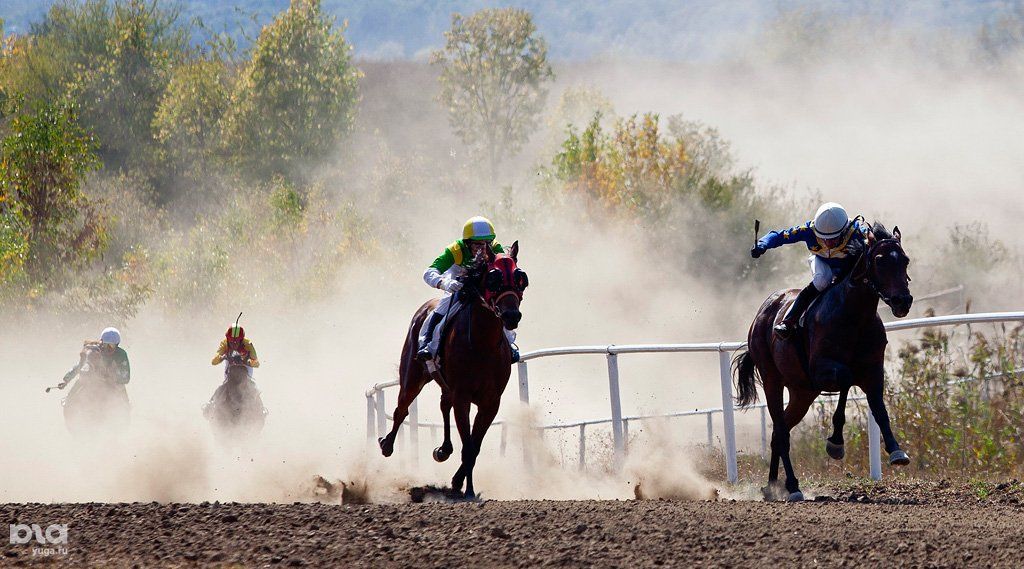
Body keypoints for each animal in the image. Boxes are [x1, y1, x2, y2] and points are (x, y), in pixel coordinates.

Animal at [380, 240, 532, 497]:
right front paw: (467, 489)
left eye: (520, 277)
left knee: (443, 404)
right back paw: (387, 444)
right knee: (402, 409)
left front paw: (460, 482)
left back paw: (443, 449)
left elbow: (474, 446)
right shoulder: (463, 396)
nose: (512, 315)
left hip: (445, 384)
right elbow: (468, 444)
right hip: (412, 375)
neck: (483, 344)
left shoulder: (491, 401)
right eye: (494, 277)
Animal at [737, 224, 913, 499]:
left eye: (904, 260)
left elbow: (880, 409)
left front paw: (896, 451)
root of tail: (762, 313)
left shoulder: (873, 371)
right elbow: (846, 379)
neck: (854, 317)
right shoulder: (822, 371)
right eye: (880, 260)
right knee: (781, 431)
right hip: (772, 380)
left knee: (778, 432)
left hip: (802, 393)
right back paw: (793, 486)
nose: (902, 301)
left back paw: (772, 486)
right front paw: (836, 443)